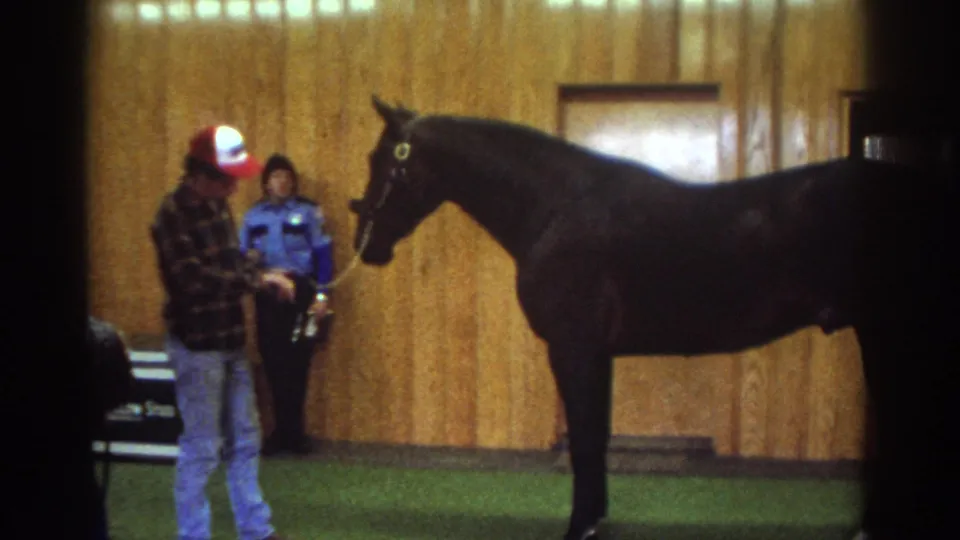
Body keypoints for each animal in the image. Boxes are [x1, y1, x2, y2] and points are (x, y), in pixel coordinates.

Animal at [348, 95, 956, 540]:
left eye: (383, 159)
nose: (365, 243)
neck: (555, 208)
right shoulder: (596, 352)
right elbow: (596, 435)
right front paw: (595, 518)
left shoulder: (574, 347)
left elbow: (585, 438)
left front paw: (579, 527)